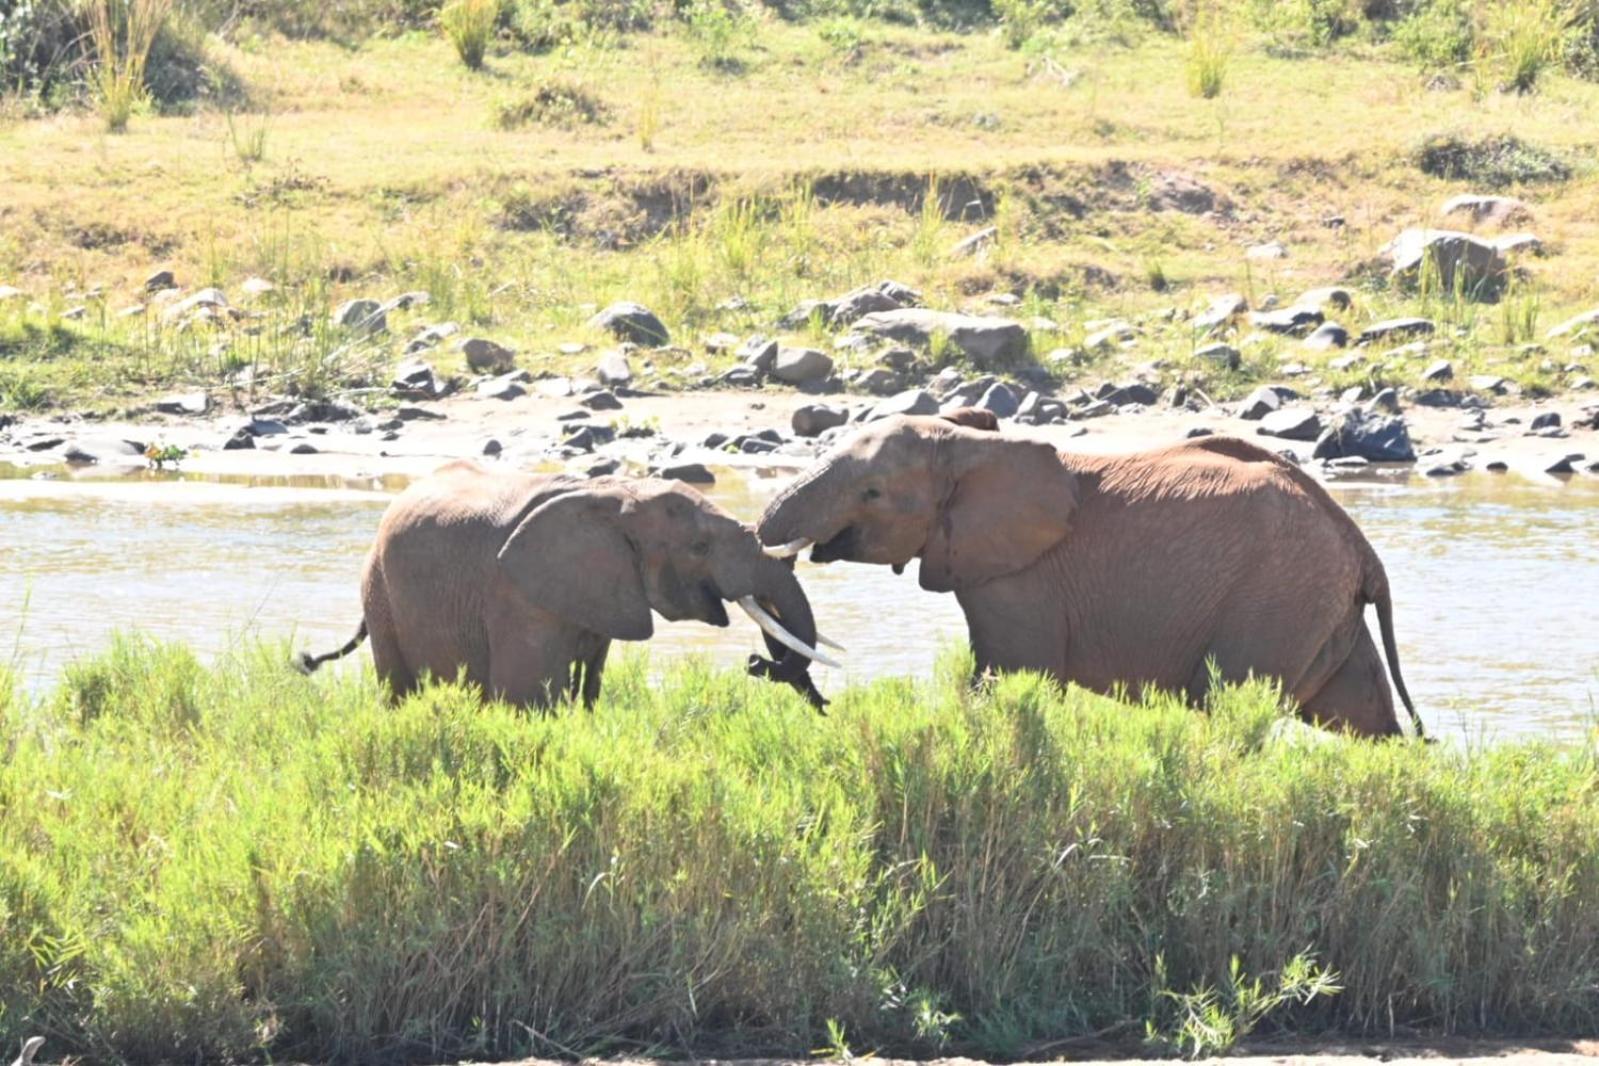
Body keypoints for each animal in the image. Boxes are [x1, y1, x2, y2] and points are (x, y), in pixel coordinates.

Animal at [303, 463, 844, 712]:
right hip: (379, 592)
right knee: (397, 687)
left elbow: (587, 689)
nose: (754, 662)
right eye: (699, 547)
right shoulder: (517, 595)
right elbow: (526, 696)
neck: (615, 494)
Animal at [757, 415, 1426, 741]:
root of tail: (1362, 547)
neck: (970, 444)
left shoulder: (1021, 578)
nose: (761, 667)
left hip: (1280, 598)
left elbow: (1012, 677)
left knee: (1231, 706)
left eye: (872, 493)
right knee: (1365, 717)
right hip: (1320, 608)